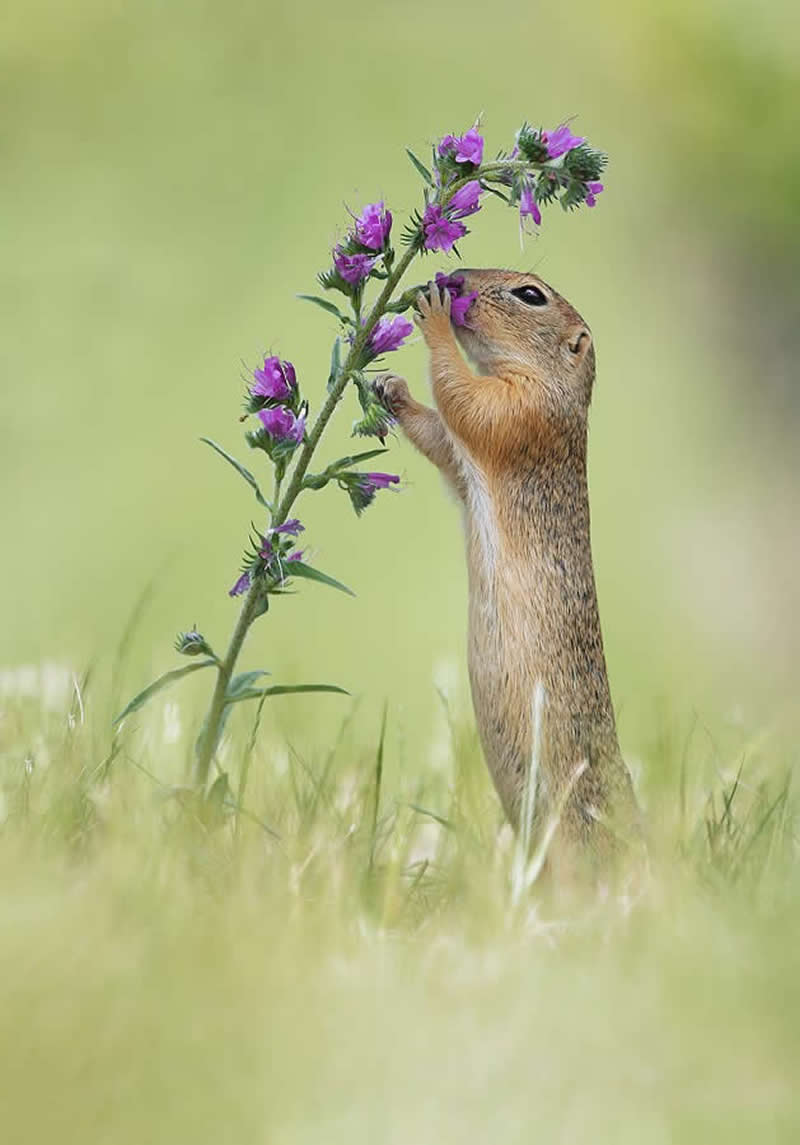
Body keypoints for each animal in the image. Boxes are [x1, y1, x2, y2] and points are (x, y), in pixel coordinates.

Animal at [375, 270, 642, 883]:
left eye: (530, 295)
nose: (454, 277)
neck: (559, 389)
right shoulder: (480, 439)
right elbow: (442, 438)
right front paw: (391, 388)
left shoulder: (517, 410)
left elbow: (464, 400)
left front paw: (433, 313)